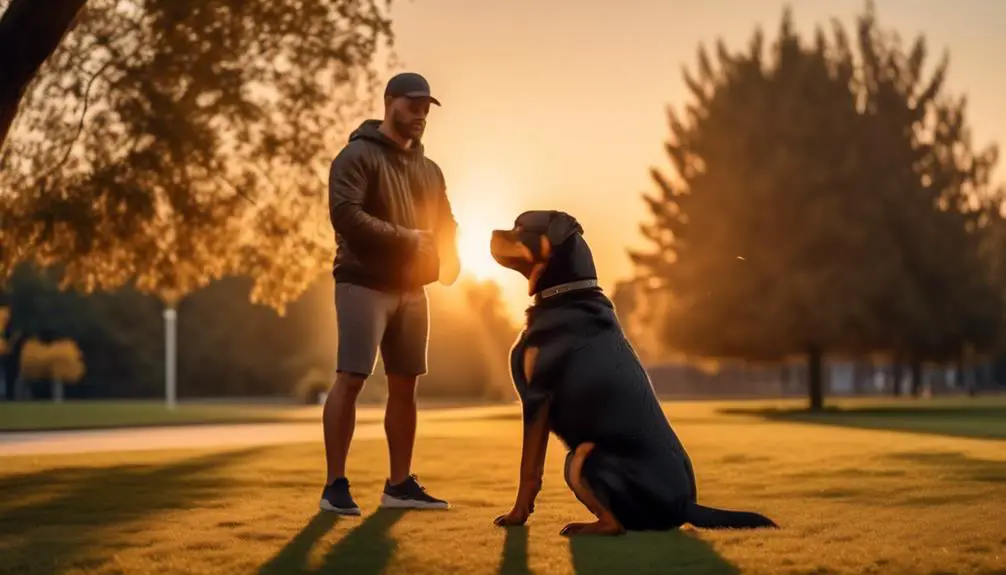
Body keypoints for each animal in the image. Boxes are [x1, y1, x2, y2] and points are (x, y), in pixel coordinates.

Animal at [486, 210, 776, 534]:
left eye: (522, 226)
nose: (492, 232)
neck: (565, 293)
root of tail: (687, 503)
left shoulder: (537, 397)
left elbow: (528, 468)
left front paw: (515, 517)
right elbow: (531, 466)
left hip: (586, 453)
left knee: (616, 525)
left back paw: (581, 527)